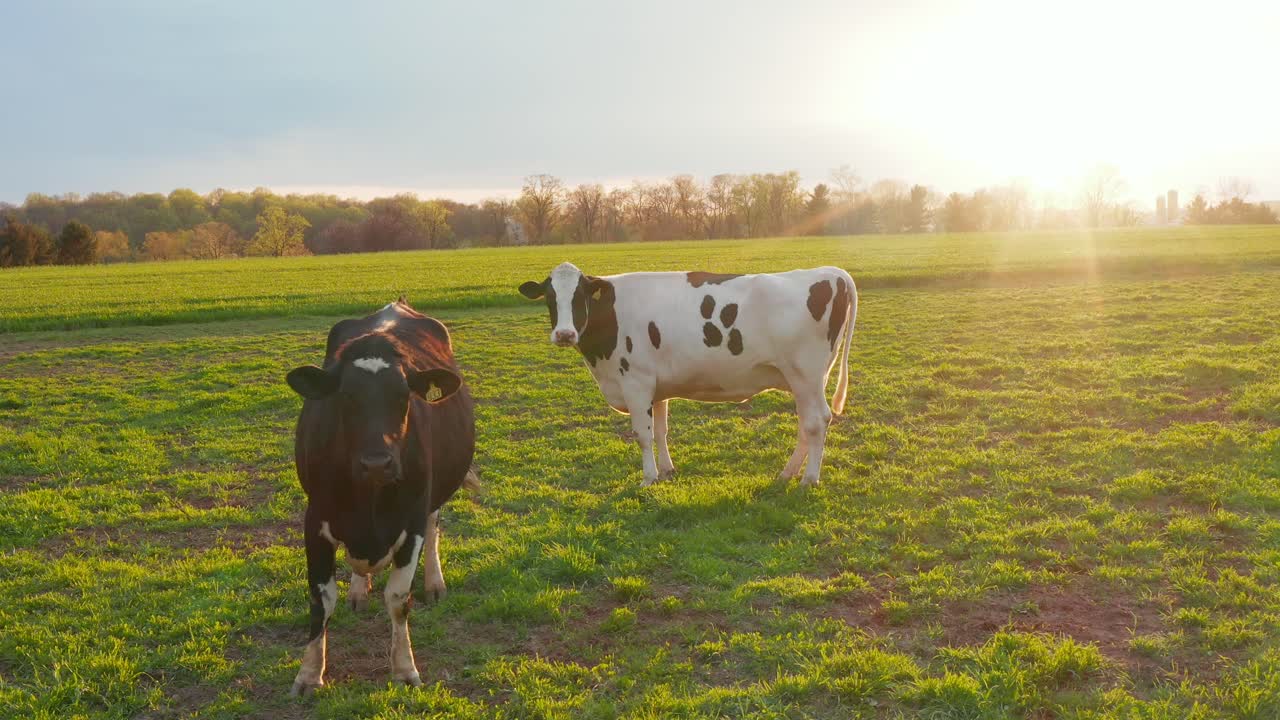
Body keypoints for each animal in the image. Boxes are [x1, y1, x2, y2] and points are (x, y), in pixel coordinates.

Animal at [284, 297, 475, 695]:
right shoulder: (315, 520)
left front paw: (404, 668)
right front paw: (309, 673)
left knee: (435, 526)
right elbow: (321, 600)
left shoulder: (411, 521)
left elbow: (398, 599)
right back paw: (359, 589)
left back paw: (434, 583)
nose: (377, 463)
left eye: (404, 397)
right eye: (345, 397)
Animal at [518, 263, 856, 487]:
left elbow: (643, 435)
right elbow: (661, 430)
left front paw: (648, 478)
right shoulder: (657, 387)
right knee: (807, 424)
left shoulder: (636, 382)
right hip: (806, 381)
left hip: (806, 375)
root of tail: (831, 272)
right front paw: (667, 471)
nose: (564, 334)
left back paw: (809, 479)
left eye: (580, 297)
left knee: (817, 421)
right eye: (549, 298)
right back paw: (787, 473)